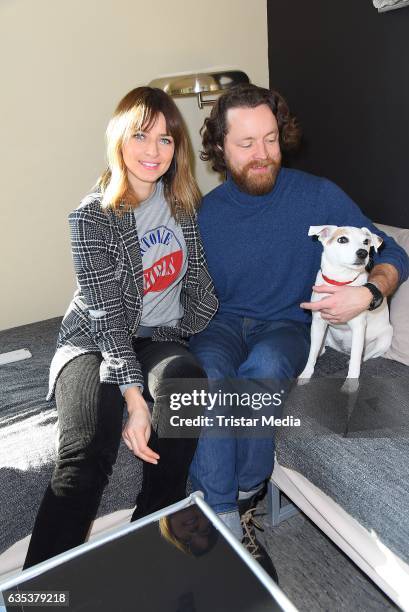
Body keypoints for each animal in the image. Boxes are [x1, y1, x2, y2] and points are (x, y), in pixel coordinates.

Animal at [298, 226, 390, 392]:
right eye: (342, 239)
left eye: (366, 241)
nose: (363, 253)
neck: (340, 281)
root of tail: (343, 350)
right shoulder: (318, 322)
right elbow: (311, 353)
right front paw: (306, 374)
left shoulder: (359, 327)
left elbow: (355, 361)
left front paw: (350, 385)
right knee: (322, 347)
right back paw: (322, 350)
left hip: (385, 338)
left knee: (366, 355)